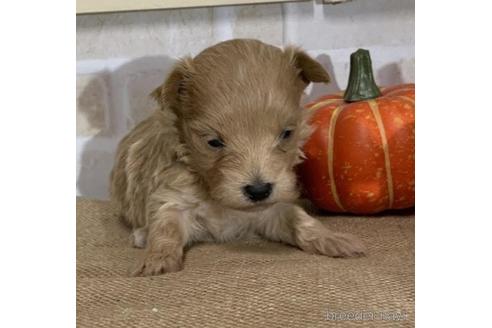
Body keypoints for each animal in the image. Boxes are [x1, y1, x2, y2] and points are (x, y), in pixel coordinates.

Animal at [110, 39, 366, 276]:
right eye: (214, 142)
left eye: (287, 133)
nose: (259, 191)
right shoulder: (173, 198)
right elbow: (166, 228)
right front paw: (157, 259)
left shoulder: (273, 209)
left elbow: (300, 219)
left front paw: (333, 239)